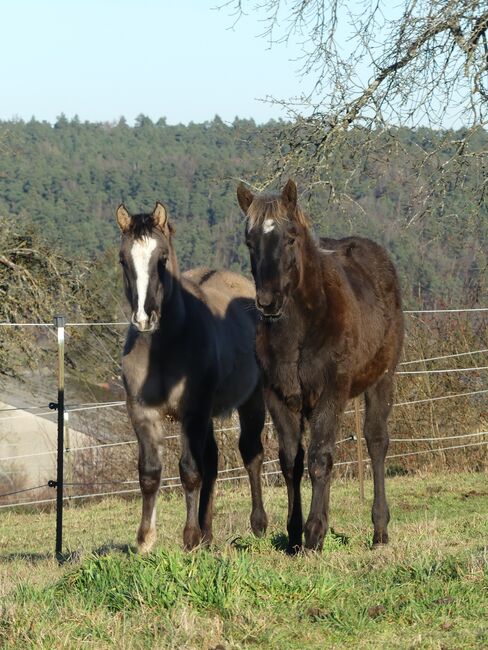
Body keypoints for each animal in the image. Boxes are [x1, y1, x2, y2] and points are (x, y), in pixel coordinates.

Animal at [116, 200, 268, 548]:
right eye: (123, 259)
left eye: (161, 259)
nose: (143, 319)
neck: (164, 349)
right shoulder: (142, 413)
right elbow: (149, 473)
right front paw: (145, 540)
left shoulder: (192, 411)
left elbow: (188, 470)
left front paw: (189, 537)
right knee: (211, 462)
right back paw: (208, 532)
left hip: (252, 402)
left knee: (251, 454)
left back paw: (258, 524)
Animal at [237, 178, 404, 552]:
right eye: (249, 242)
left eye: (290, 237)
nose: (267, 303)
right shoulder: (280, 397)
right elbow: (292, 462)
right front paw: (294, 534)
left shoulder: (331, 391)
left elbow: (320, 458)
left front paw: (314, 533)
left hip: (382, 380)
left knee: (375, 442)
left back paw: (380, 531)